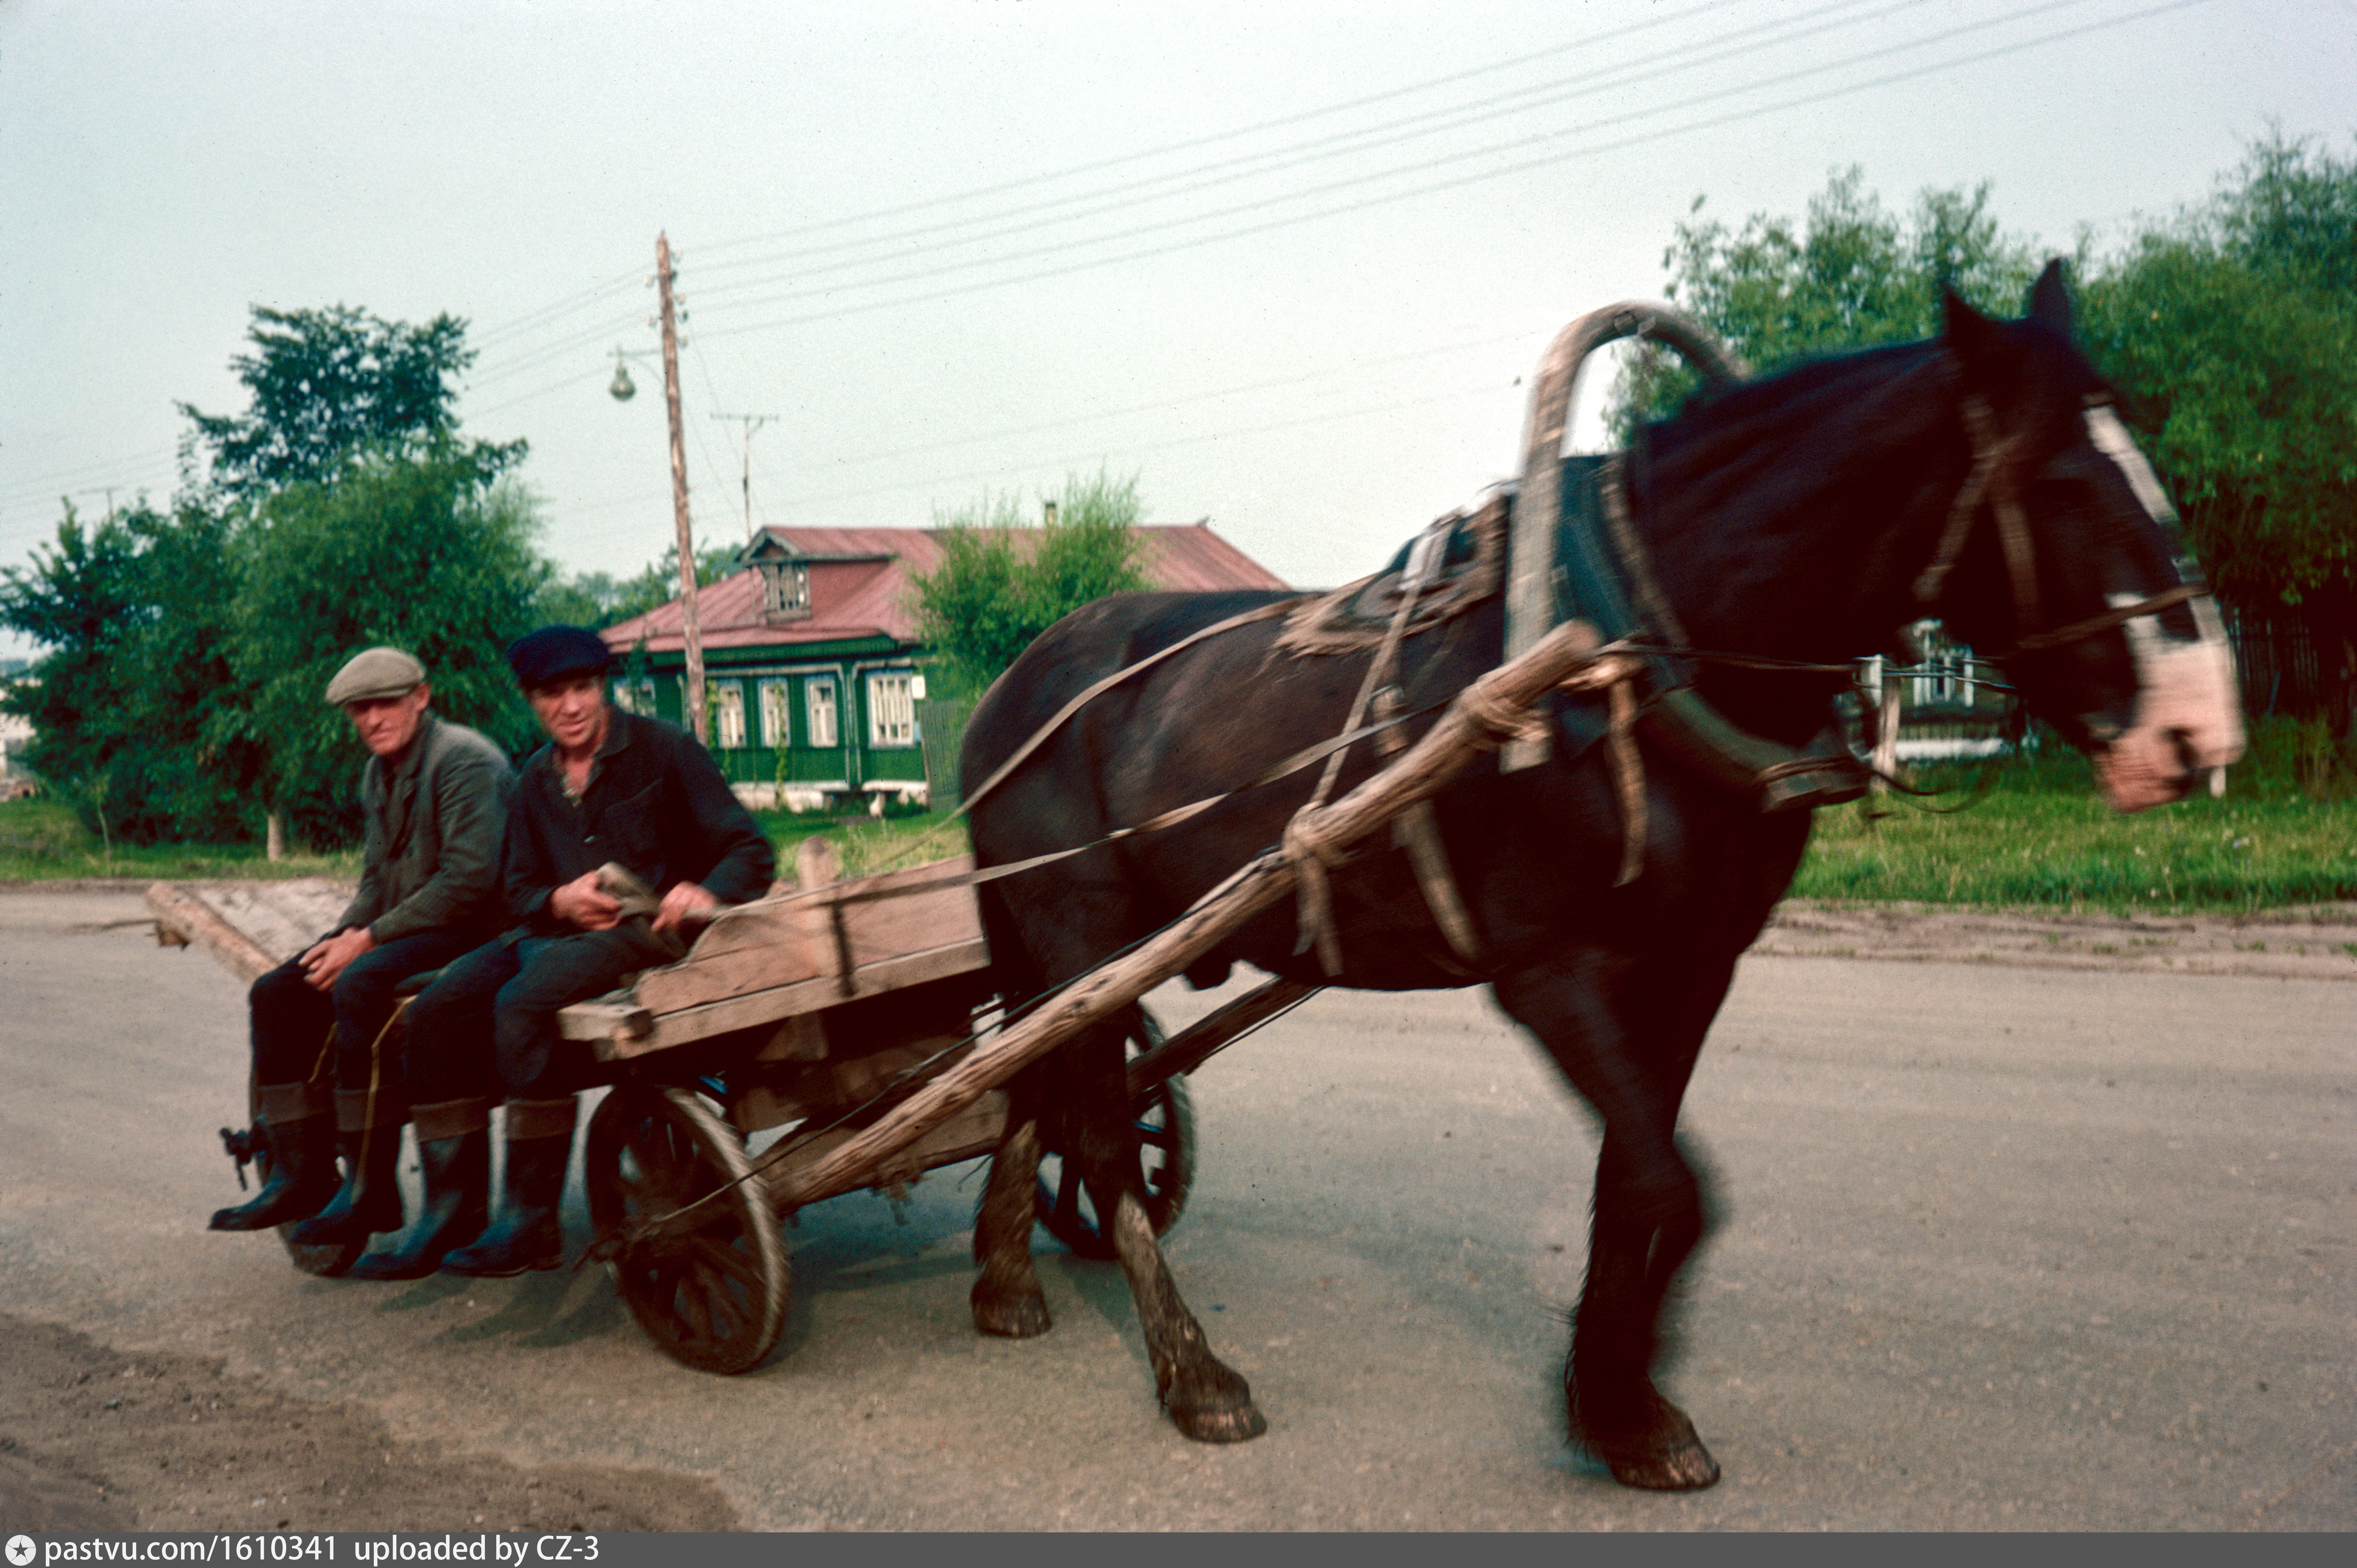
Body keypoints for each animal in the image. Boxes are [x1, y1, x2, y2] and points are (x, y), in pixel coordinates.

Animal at [952, 269, 2244, 1490]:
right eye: (2062, 482)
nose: (2198, 729)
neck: (1633, 648)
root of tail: (1009, 691)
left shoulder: (1693, 965)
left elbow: (1646, 1181)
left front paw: (1619, 1391)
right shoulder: (1550, 973)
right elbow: (1666, 1186)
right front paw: (1617, 1397)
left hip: (1071, 960)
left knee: (1034, 1092)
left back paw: (1006, 1275)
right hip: (1079, 936)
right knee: (1095, 1131)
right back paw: (1192, 1370)